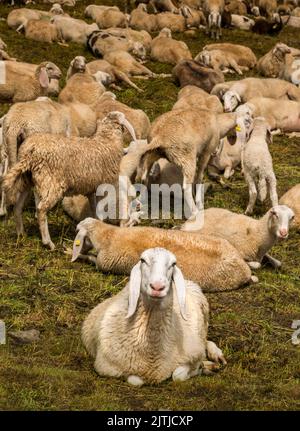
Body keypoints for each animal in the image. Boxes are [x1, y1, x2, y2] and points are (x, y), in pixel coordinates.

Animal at [2, 112, 136, 250]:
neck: (106, 141)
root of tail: (29, 153)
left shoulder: (92, 188)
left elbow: (94, 209)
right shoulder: (104, 186)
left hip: (27, 180)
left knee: (18, 206)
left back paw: (21, 234)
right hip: (51, 183)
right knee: (41, 209)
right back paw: (48, 243)